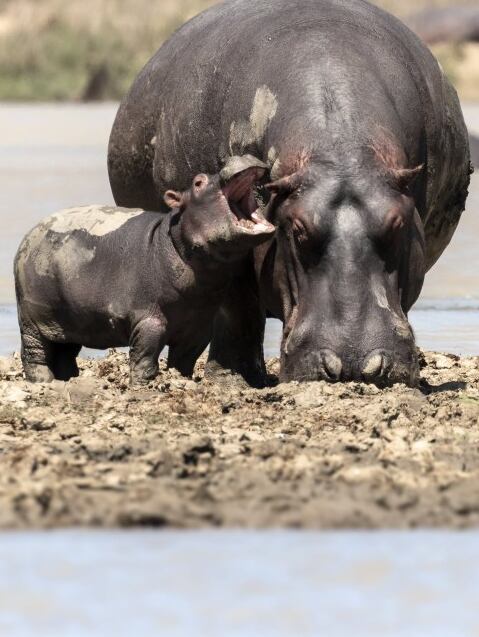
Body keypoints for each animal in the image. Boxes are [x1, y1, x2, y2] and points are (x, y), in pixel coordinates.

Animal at [14, 155, 274, 382]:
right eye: (198, 182)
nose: (240, 155)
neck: (174, 240)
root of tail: (27, 237)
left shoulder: (198, 326)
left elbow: (184, 361)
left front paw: (182, 380)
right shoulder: (148, 318)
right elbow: (145, 357)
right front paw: (143, 385)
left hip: (69, 321)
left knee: (64, 354)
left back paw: (67, 380)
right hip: (32, 318)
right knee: (35, 354)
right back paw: (43, 382)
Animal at [107, 0, 470, 386]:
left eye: (397, 224)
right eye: (297, 230)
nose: (355, 362)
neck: (339, 155)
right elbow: (237, 307)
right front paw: (231, 378)